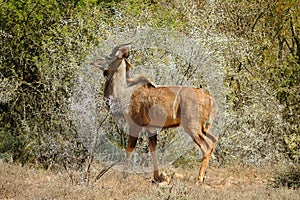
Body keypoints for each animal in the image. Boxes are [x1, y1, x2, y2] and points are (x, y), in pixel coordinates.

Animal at [91, 42, 218, 184]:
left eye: (110, 57)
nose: (94, 62)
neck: (127, 91)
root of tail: (210, 98)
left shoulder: (135, 125)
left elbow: (129, 148)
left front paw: (123, 176)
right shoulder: (150, 128)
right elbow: (153, 149)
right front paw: (156, 177)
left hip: (192, 127)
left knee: (207, 146)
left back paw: (199, 179)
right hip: (203, 128)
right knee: (214, 140)